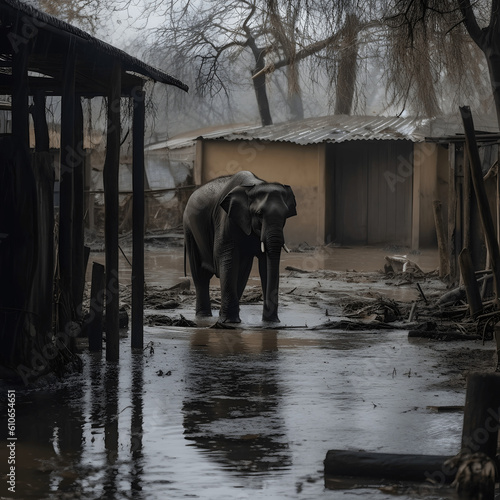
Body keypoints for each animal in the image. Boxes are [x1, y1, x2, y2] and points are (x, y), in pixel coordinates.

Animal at [184, 170, 296, 322]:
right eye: (259, 214)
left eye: (285, 215)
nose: (273, 320)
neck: (254, 186)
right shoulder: (226, 219)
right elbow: (228, 257)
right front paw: (228, 322)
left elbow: (264, 264)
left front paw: (271, 323)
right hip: (190, 229)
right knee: (201, 275)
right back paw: (204, 316)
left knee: (241, 273)